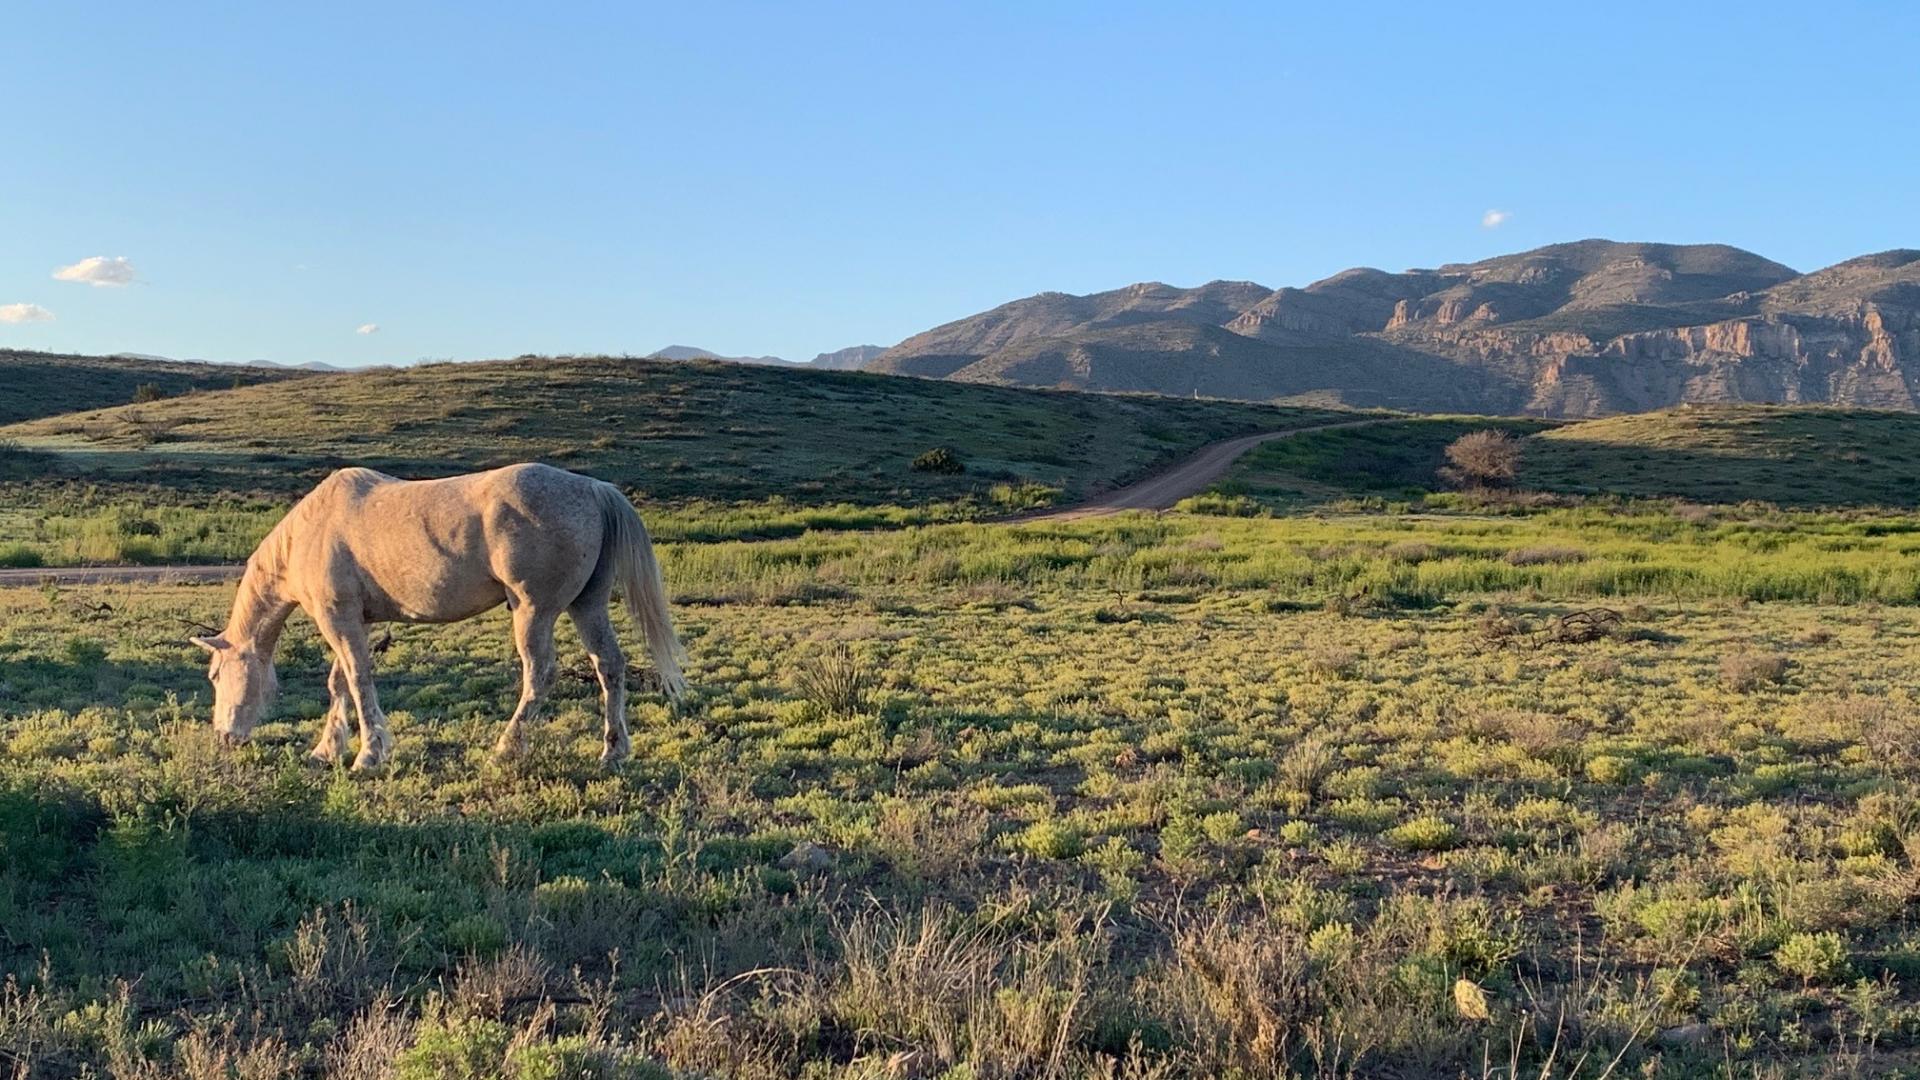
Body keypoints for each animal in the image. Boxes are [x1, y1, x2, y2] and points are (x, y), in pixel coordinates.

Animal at [192, 463, 691, 764]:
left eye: (215, 675)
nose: (224, 737)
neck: (309, 533)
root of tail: (593, 488)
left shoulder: (338, 620)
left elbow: (357, 679)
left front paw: (368, 755)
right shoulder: (355, 621)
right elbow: (340, 683)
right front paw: (327, 750)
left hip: (534, 611)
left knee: (540, 674)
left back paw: (505, 748)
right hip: (586, 605)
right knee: (610, 666)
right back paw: (613, 751)